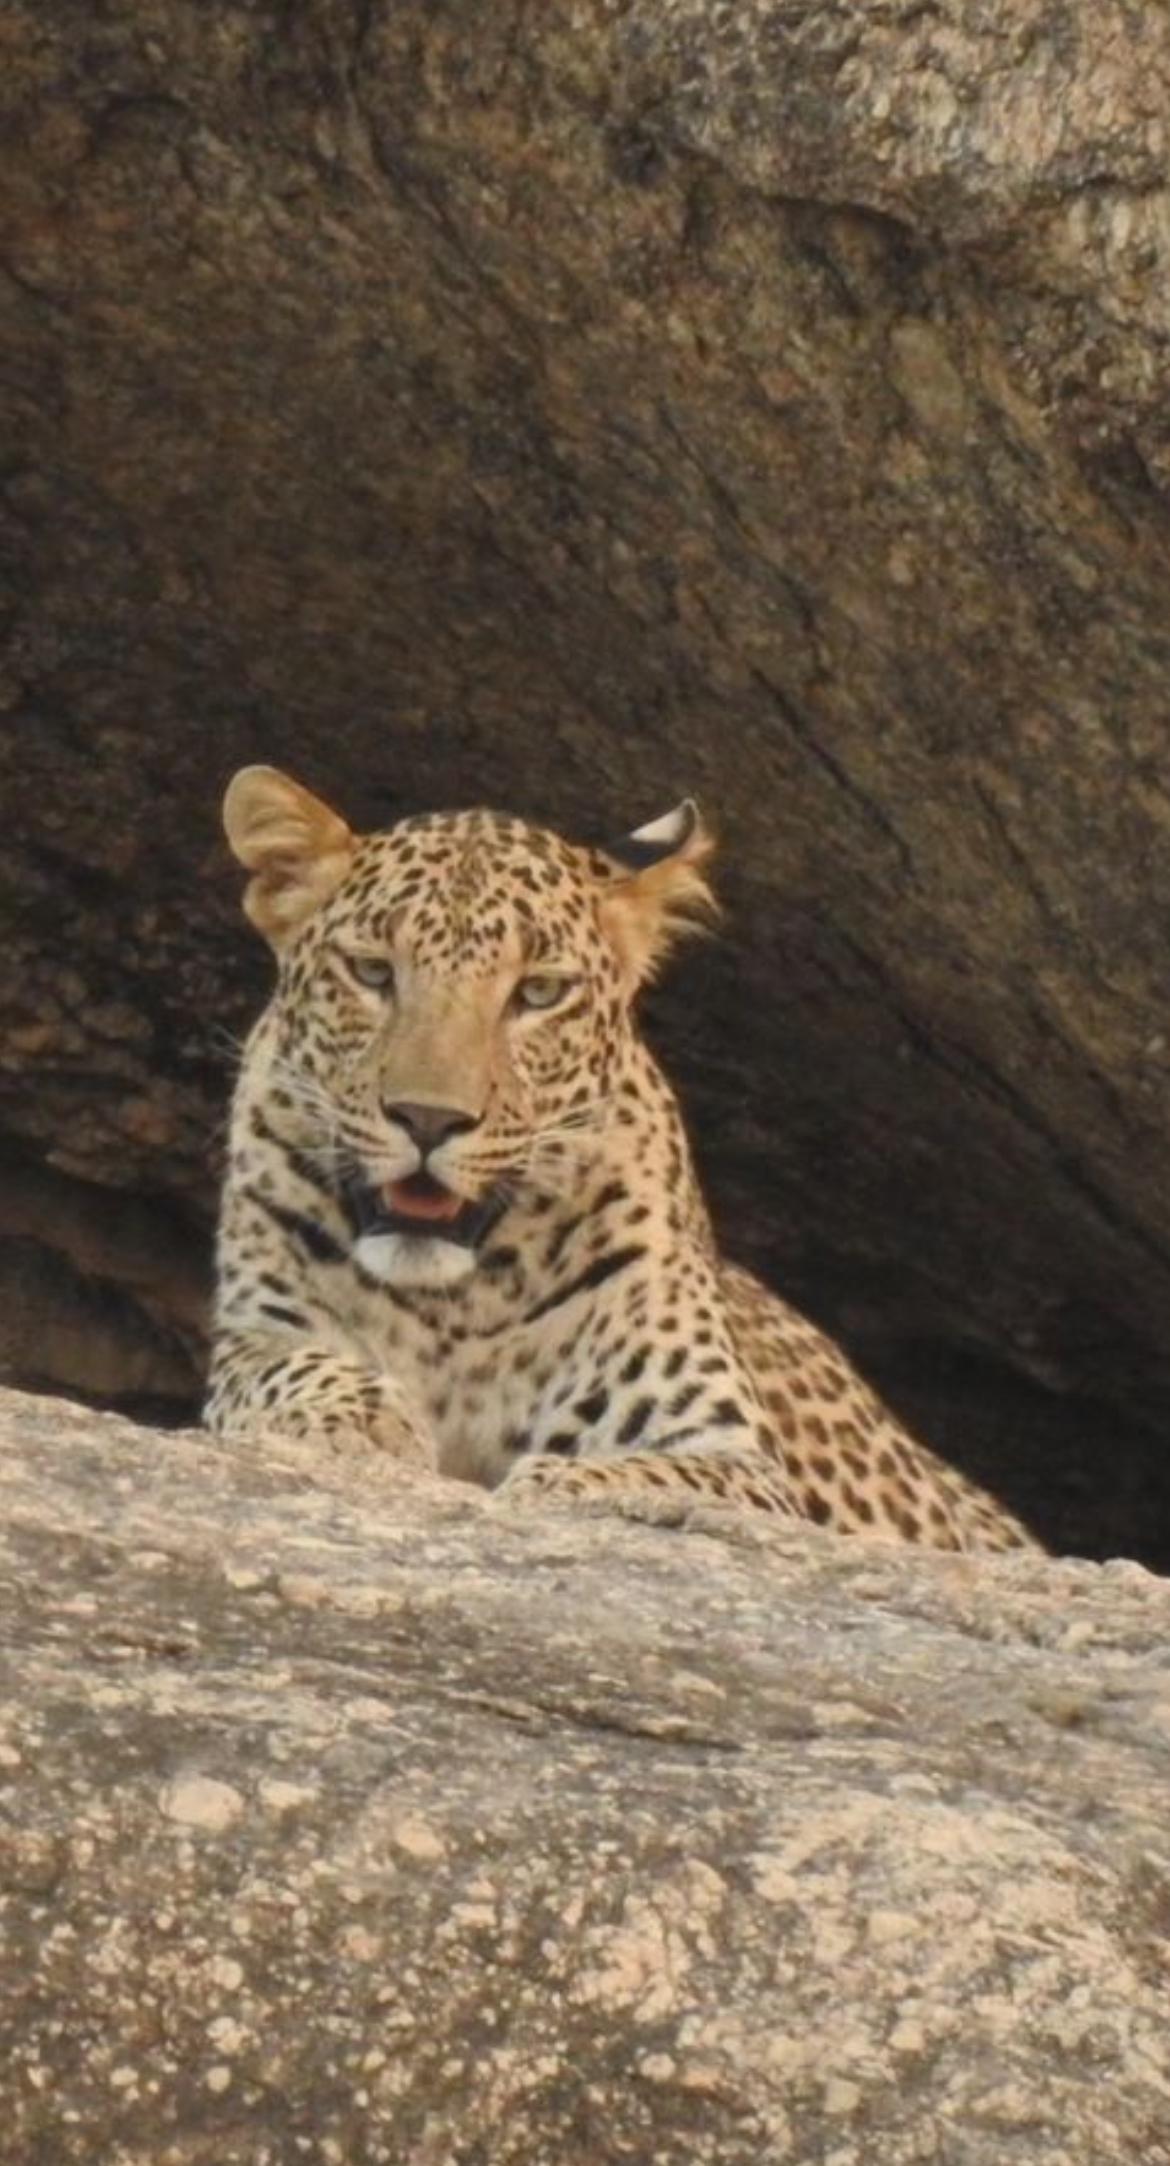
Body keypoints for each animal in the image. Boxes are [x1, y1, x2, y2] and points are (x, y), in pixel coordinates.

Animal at [206, 763, 1037, 1553]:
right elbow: (283, 1369)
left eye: (539, 992)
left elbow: (639, 1475)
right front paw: (362, 1421)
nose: (428, 1119)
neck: (450, 1314)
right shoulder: (255, 1334)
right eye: (373, 972)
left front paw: (554, 1483)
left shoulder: (731, 1456)